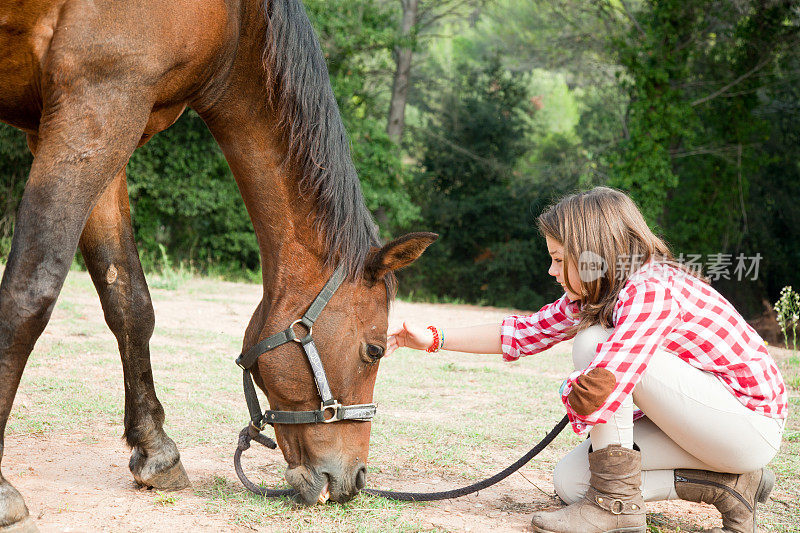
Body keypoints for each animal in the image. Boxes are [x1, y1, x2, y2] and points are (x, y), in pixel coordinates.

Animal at [1, 0, 438, 524]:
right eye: (374, 351)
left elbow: (129, 301)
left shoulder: (107, 127)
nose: (355, 481)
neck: (236, 23)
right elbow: (28, 296)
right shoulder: (99, 101)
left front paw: (156, 452)